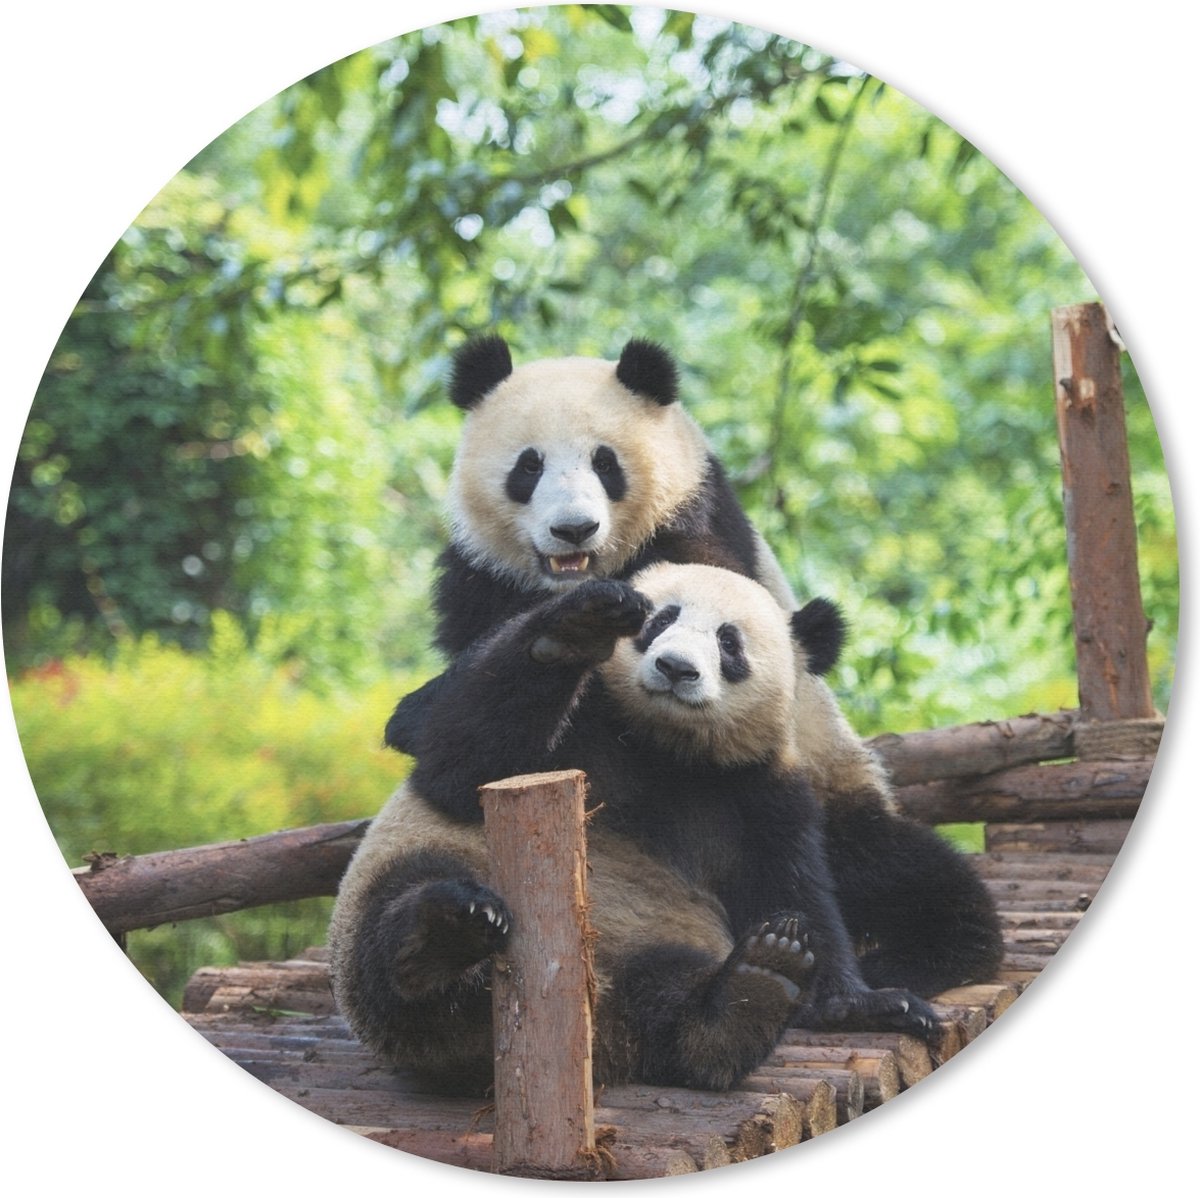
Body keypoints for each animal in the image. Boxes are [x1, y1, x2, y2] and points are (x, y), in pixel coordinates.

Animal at [330, 564, 945, 1095]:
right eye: (660, 620)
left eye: (729, 642)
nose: (675, 667)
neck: (662, 747)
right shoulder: (581, 728)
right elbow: (460, 766)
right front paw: (577, 627)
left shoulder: (758, 791)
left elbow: (793, 885)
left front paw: (867, 1001)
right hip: (414, 882)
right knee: (400, 916)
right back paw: (445, 937)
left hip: (651, 946)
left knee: (667, 1001)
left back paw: (749, 996)